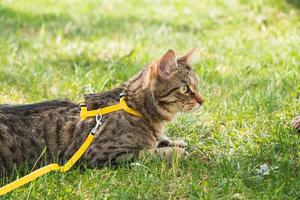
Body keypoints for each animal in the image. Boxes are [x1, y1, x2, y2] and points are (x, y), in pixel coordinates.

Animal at [0, 48, 204, 177]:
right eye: (185, 88)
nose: (202, 101)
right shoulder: (104, 155)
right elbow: (149, 153)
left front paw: (176, 142)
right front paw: (175, 152)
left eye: (197, 85)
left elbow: (162, 141)